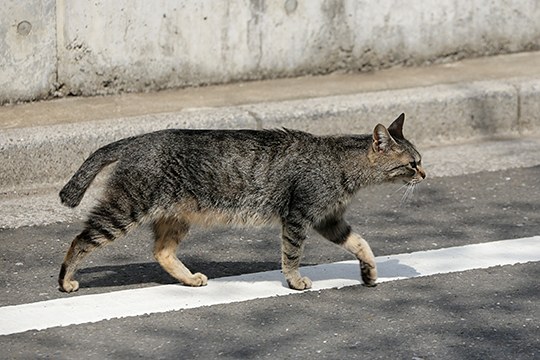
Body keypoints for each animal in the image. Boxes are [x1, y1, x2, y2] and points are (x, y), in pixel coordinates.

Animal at [58, 112, 426, 292]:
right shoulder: (298, 217)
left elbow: (362, 244)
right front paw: (295, 281)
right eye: (412, 163)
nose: (424, 174)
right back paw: (66, 281)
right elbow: (292, 255)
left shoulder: (330, 220)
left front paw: (369, 273)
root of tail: (135, 140)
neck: (342, 165)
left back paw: (189, 279)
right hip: (125, 210)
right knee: (79, 241)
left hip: (175, 217)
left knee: (161, 252)